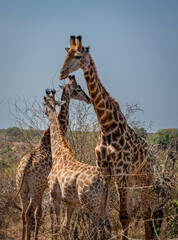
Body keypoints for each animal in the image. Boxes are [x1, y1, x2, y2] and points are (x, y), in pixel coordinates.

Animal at [15, 75, 90, 240]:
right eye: (78, 89)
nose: (88, 99)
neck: (48, 140)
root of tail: (24, 168)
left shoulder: (46, 189)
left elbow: (42, 214)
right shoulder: (47, 189)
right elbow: (47, 215)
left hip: (22, 189)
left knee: (23, 214)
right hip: (35, 190)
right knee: (29, 213)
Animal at [43, 90, 110, 240]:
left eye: (44, 102)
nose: (44, 112)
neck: (58, 153)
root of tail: (104, 181)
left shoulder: (54, 195)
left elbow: (56, 226)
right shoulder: (70, 202)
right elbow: (65, 228)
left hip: (90, 204)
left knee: (101, 230)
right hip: (103, 204)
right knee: (108, 229)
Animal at [60, 36, 157, 240]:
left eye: (78, 55)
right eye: (66, 54)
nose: (62, 72)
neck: (106, 126)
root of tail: (148, 150)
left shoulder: (119, 170)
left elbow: (123, 216)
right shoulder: (104, 170)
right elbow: (105, 218)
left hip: (145, 176)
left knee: (146, 212)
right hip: (130, 179)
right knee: (135, 210)